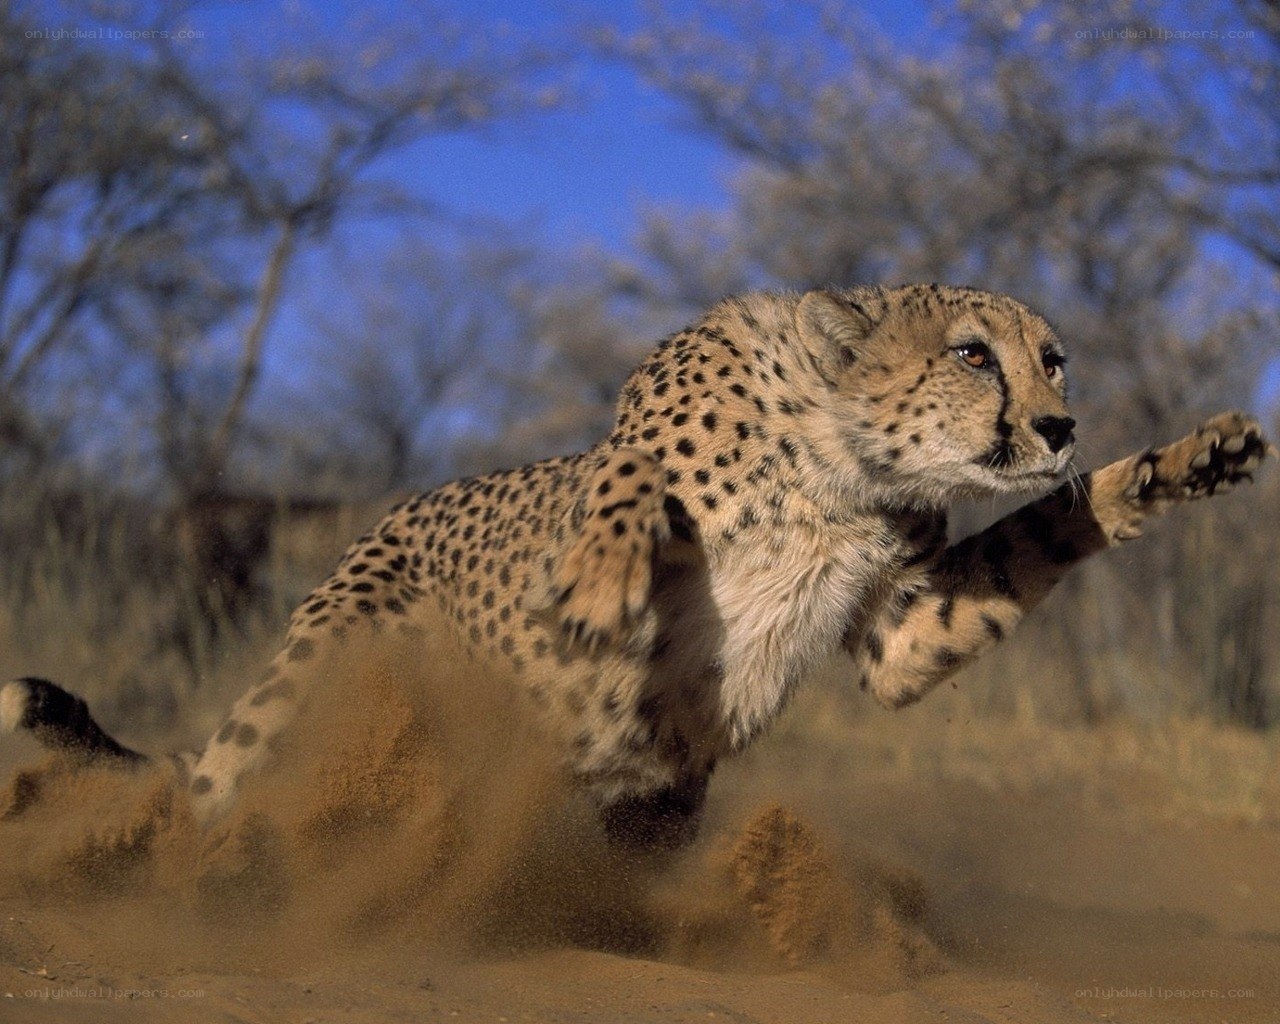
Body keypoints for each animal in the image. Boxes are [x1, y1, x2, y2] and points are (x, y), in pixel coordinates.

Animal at [3, 284, 1273, 849]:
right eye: (970, 354)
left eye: (1051, 358)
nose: (1058, 424)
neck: (839, 465)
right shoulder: (628, 440)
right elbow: (618, 474)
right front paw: (604, 585)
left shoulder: (900, 629)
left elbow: (1044, 531)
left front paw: (1180, 462)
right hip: (325, 663)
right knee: (217, 794)